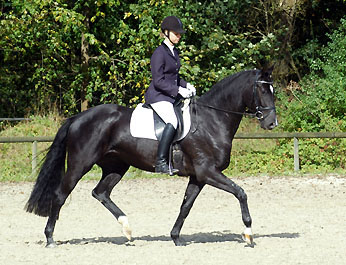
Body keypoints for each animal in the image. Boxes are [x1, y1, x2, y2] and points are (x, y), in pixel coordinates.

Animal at [25, 65, 278, 245]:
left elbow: (186, 206)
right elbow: (241, 193)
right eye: (262, 90)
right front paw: (248, 234)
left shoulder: (198, 176)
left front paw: (175, 237)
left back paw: (127, 230)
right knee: (61, 195)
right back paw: (50, 238)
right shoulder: (208, 172)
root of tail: (78, 117)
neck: (211, 120)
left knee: (101, 192)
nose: (272, 123)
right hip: (80, 164)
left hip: (117, 166)